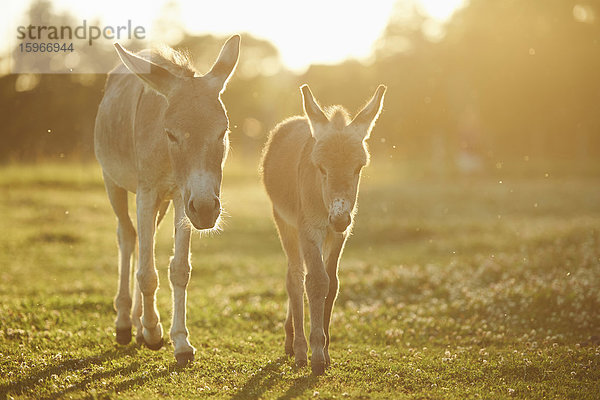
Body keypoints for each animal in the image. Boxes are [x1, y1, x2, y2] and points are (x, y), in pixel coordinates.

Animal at [95, 36, 240, 364]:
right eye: (171, 134)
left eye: (223, 132)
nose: (207, 211)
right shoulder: (149, 192)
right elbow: (148, 273)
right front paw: (152, 331)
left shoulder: (182, 198)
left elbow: (179, 269)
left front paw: (180, 341)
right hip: (114, 184)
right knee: (128, 237)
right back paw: (125, 324)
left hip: (163, 203)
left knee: (141, 240)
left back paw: (137, 324)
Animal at [262, 83, 384, 374]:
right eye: (321, 168)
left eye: (358, 168)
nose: (338, 218)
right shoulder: (309, 230)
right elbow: (316, 281)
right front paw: (316, 355)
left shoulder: (338, 236)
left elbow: (333, 283)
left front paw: (326, 352)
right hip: (285, 223)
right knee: (294, 278)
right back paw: (298, 349)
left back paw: (291, 337)